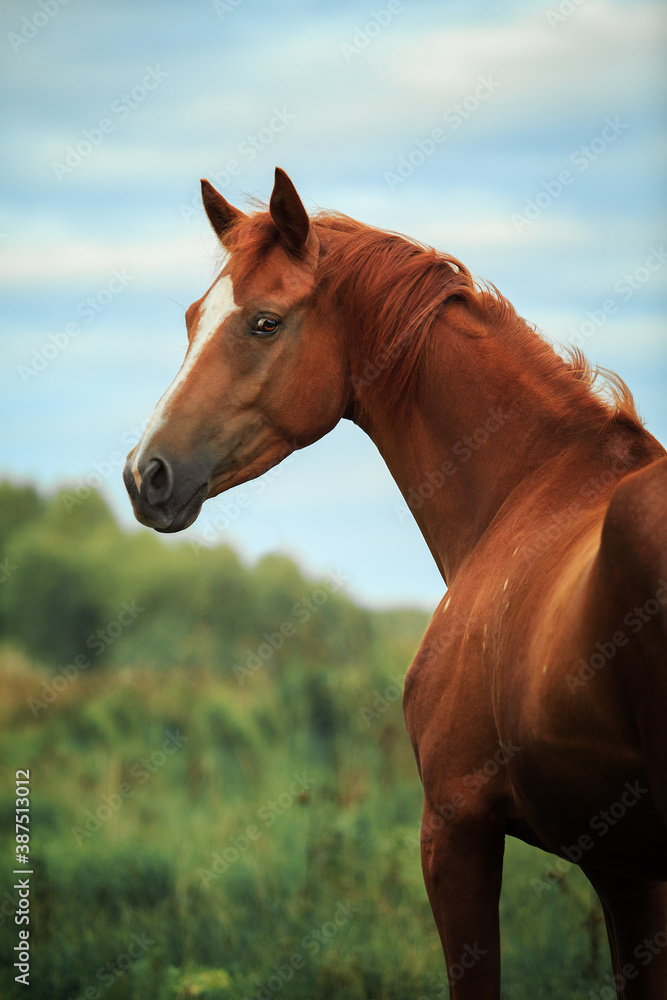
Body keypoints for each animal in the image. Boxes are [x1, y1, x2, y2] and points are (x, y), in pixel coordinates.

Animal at [123, 167, 667, 998]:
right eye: (192, 318)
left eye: (264, 323)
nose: (143, 474)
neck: (530, 485)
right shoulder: (624, 870)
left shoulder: (453, 827)